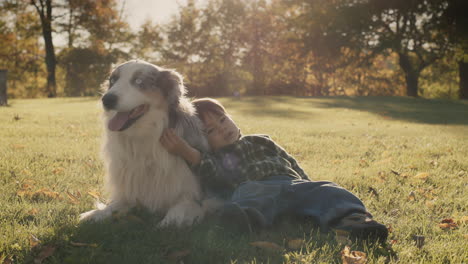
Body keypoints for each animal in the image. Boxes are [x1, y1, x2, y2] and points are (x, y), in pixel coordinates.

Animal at [78, 59, 214, 227]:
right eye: (113, 81)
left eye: (139, 81)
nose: (107, 100)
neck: (144, 137)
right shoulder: (129, 193)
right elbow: (113, 206)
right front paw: (95, 214)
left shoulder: (194, 195)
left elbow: (178, 211)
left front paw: (165, 223)